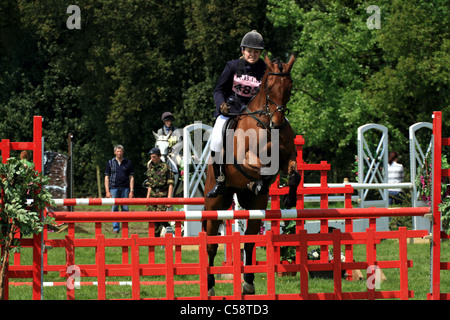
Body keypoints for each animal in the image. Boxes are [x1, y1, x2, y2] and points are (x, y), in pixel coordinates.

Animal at [206, 53, 300, 296]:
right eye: (269, 86)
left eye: (289, 87)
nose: (277, 123)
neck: (265, 123)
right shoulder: (245, 158)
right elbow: (260, 167)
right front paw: (258, 183)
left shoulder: (288, 157)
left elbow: (294, 175)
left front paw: (289, 198)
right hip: (215, 204)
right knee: (210, 243)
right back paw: (209, 286)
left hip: (255, 209)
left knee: (248, 241)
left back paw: (248, 283)